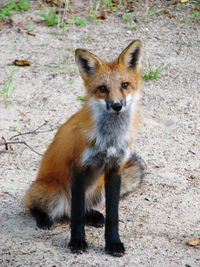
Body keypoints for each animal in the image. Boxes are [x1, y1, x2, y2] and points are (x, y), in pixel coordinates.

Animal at [23, 39, 145, 258]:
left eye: (125, 85)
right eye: (103, 88)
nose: (117, 106)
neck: (108, 140)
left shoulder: (114, 168)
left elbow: (112, 215)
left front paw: (113, 243)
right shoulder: (79, 167)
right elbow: (77, 216)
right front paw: (78, 242)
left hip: (97, 188)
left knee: (78, 210)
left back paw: (94, 216)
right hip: (53, 192)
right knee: (40, 206)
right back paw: (43, 219)